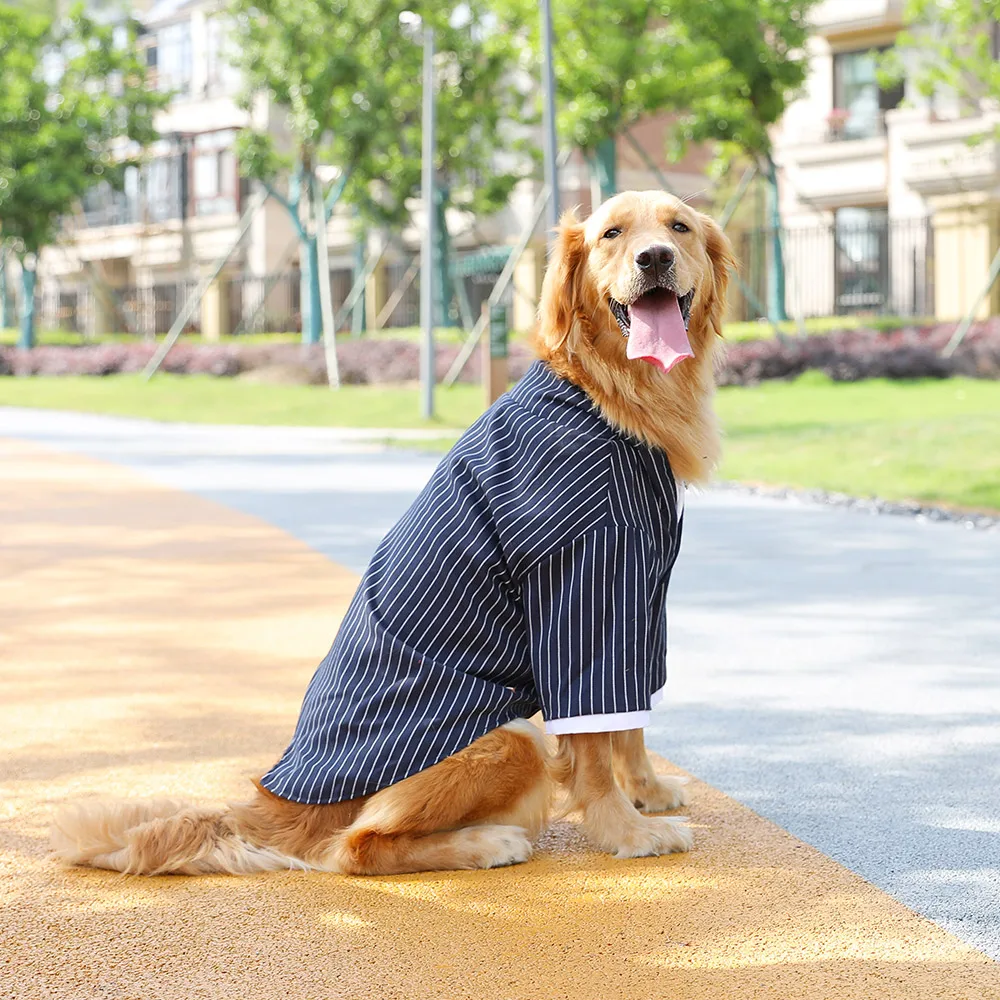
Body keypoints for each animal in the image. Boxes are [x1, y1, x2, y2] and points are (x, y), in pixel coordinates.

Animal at [50, 189, 736, 876]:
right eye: (612, 234)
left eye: (678, 227)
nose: (654, 257)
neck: (602, 391)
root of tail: (278, 801)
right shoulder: (586, 584)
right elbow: (595, 737)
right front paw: (627, 831)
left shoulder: (640, 595)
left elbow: (632, 723)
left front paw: (648, 791)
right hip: (512, 737)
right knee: (357, 845)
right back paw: (486, 842)